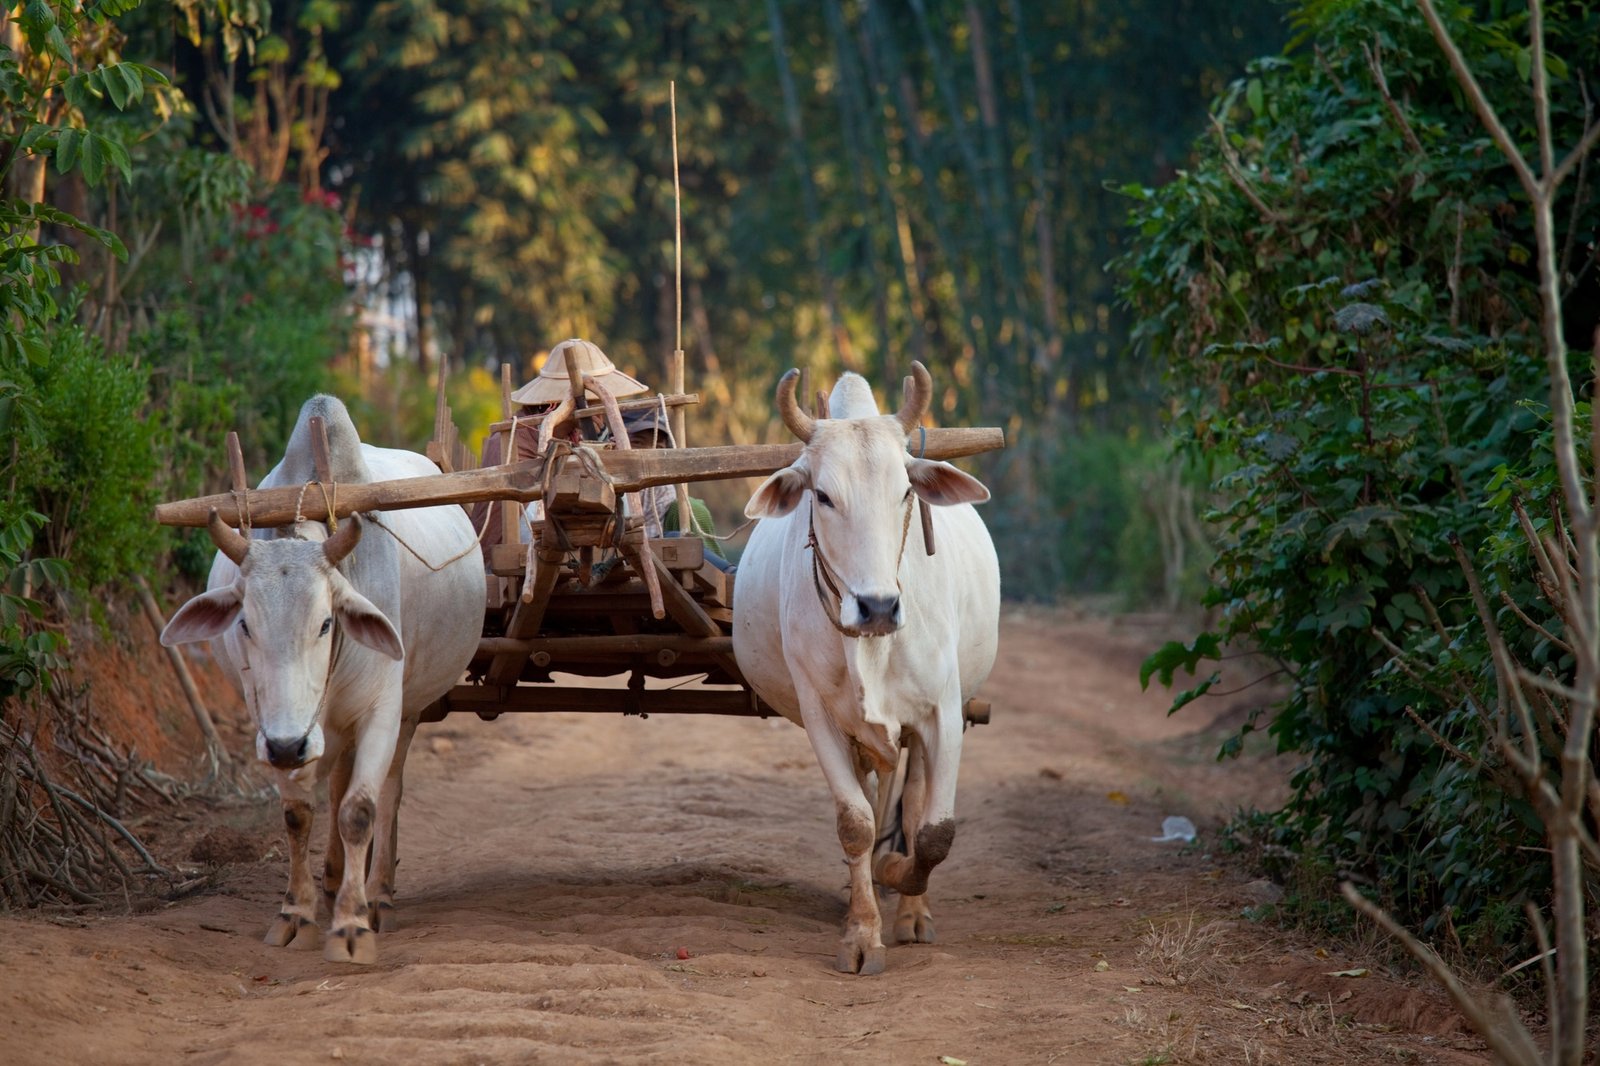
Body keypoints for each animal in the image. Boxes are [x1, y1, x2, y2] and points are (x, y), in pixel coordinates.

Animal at [162, 396, 484, 964]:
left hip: (408, 710)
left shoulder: (381, 709)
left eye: (327, 623)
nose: (288, 746)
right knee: (334, 785)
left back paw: (378, 896)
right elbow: (299, 813)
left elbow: (360, 809)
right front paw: (296, 914)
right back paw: (333, 882)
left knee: (388, 791)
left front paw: (352, 925)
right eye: (244, 624)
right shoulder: (269, 721)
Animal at [732, 362, 1000, 974]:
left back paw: (910, 911)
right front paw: (860, 933)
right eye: (823, 496)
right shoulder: (820, 718)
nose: (878, 607)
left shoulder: (944, 713)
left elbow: (934, 834)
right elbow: (855, 824)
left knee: (913, 805)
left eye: (905, 491)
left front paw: (896, 881)